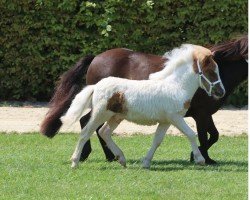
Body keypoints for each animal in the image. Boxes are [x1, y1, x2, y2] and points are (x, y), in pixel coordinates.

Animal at [40, 36, 247, 164]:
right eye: (211, 70)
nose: (219, 91)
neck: (174, 85)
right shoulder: (193, 115)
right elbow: (199, 135)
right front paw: (201, 159)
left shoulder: (173, 119)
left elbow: (161, 139)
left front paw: (148, 161)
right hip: (102, 112)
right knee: (87, 127)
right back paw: (86, 157)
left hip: (114, 116)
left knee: (101, 130)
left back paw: (115, 157)